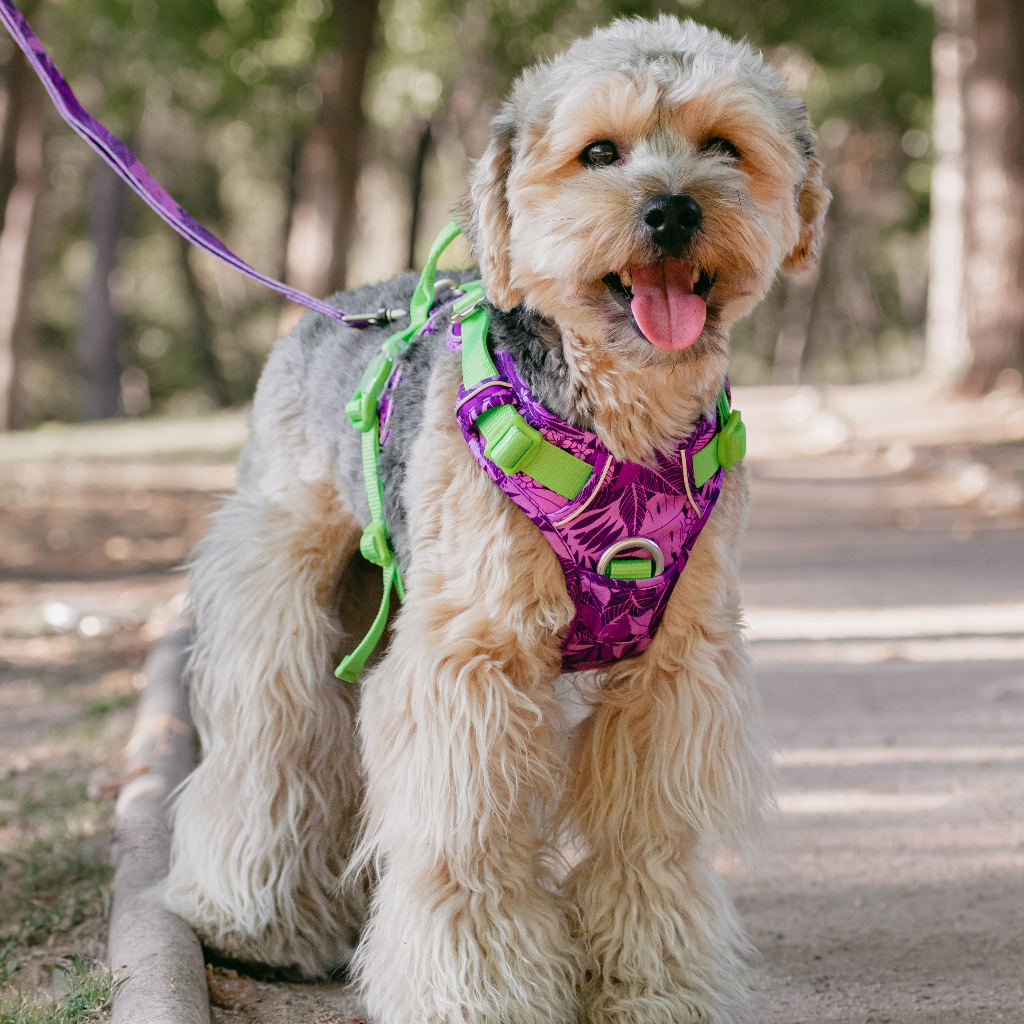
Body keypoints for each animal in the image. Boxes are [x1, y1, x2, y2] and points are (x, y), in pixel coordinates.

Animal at [161, 16, 831, 1024]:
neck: (621, 427)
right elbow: (467, 844)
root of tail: (342, 305)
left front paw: (652, 984)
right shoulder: (477, 657)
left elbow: (647, 841)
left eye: (724, 145)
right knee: (272, 746)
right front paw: (476, 989)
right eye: (600, 153)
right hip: (281, 593)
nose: (672, 211)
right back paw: (253, 921)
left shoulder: (676, 671)